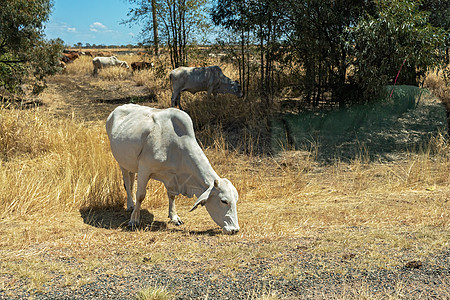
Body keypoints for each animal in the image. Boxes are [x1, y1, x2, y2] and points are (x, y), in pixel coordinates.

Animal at [106, 103, 241, 234]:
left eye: (236, 200)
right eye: (224, 201)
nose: (234, 229)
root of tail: (117, 109)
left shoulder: (172, 176)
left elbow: (171, 195)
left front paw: (174, 217)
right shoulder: (145, 168)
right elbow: (141, 195)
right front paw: (134, 220)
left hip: (131, 164)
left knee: (131, 180)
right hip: (121, 162)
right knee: (127, 181)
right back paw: (130, 204)